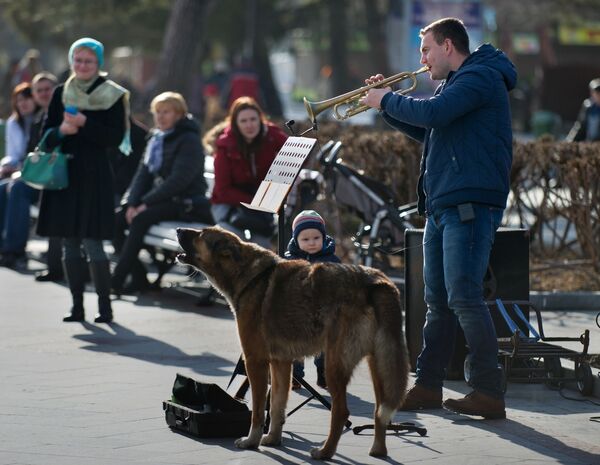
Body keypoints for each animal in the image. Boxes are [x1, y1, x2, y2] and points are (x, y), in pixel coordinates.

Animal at [175, 227, 408, 458]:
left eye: (200, 234)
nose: (177, 229)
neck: (250, 276)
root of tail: (376, 282)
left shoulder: (255, 361)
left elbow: (258, 411)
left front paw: (252, 441)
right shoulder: (281, 363)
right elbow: (277, 406)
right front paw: (273, 438)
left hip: (334, 365)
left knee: (341, 411)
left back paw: (325, 452)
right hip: (378, 364)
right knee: (379, 411)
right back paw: (378, 450)